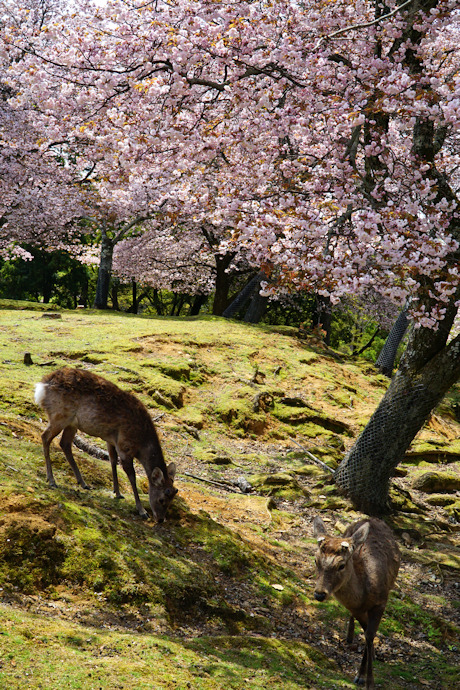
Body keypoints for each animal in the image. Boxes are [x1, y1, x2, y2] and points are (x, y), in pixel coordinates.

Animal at [33, 366, 178, 520]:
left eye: (172, 501)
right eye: (161, 499)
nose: (160, 519)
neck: (141, 444)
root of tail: (42, 385)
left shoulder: (112, 441)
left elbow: (113, 462)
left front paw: (117, 493)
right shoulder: (125, 446)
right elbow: (131, 476)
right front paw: (142, 511)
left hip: (71, 423)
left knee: (64, 444)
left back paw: (83, 483)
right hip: (60, 415)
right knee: (45, 436)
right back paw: (52, 480)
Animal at [312, 512, 398, 684]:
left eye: (341, 565)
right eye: (316, 560)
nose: (319, 593)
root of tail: (372, 518)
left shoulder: (381, 602)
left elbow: (370, 635)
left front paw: (366, 678)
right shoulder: (356, 609)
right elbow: (367, 632)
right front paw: (362, 674)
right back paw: (350, 636)